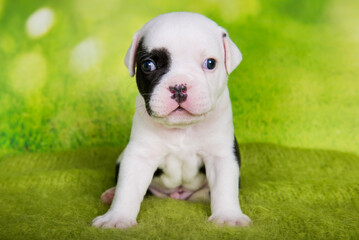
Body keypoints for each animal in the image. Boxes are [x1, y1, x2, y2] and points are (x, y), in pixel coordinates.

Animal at [91, 11, 252, 229]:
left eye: (210, 63)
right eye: (148, 65)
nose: (179, 87)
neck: (182, 129)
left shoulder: (221, 155)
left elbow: (225, 187)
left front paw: (228, 216)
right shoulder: (139, 156)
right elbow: (128, 188)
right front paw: (117, 217)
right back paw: (111, 194)